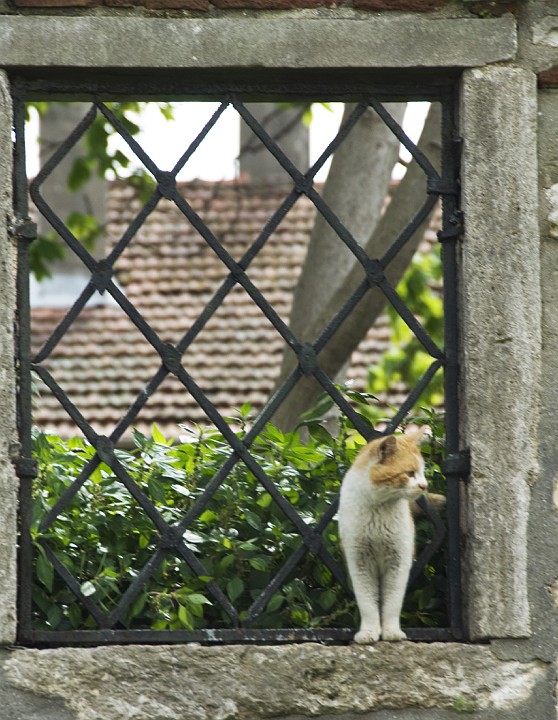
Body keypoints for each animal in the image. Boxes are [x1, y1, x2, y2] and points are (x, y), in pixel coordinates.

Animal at [338, 428, 429, 644]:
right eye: (410, 473)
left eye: (423, 473)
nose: (424, 485)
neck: (378, 508)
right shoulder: (359, 561)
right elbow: (367, 602)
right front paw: (369, 632)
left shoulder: (399, 560)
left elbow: (392, 601)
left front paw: (391, 632)